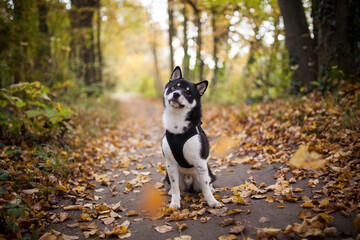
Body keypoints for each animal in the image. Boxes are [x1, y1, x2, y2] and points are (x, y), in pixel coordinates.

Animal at [161, 66, 222, 209]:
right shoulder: (170, 164)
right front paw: (175, 202)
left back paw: (212, 189)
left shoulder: (200, 162)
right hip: (168, 175)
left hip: (207, 171)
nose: (176, 94)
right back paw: (171, 191)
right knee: (174, 185)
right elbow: (175, 187)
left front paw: (211, 201)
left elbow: (205, 187)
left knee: (208, 183)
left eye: (188, 93)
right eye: (174, 86)